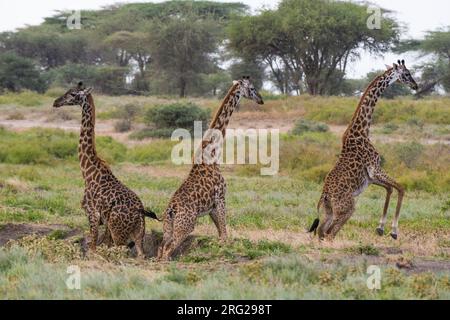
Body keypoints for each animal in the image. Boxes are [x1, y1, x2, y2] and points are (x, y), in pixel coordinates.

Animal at [52, 82, 161, 258]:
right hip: (138, 233)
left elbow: (93, 248)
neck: (88, 172)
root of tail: (140, 211)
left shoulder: (92, 214)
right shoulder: (104, 223)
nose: (56, 102)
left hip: (119, 232)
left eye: (73, 94)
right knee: (140, 255)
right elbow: (100, 246)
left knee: (121, 252)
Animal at [157, 77, 264, 260]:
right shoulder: (220, 199)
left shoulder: (212, 208)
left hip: (168, 227)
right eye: (252, 88)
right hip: (186, 225)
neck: (212, 156)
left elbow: (221, 235)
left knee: (160, 248)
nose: (261, 100)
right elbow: (225, 236)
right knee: (167, 250)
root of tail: (171, 209)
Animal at [310, 60, 418, 240]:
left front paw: (381, 228)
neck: (363, 131)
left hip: (329, 212)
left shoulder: (371, 178)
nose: (416, 85)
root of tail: (324, 196)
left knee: (322, 232)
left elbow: (390, 188)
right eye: (407, 74)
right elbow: (400, 187)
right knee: (330, 233)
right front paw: (393, 231)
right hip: (347, 209)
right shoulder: (375, 169)